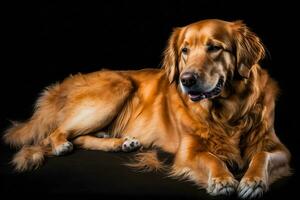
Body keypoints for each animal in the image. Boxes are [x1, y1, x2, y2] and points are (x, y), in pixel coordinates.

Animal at [3, 19, 290, 198]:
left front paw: (253, 180)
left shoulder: (279, 148)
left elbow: (262, 155)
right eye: (184, 51)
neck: (227, 113)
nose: (186, 80)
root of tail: (65, 84)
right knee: (57, 132)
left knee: (81, 138)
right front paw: (222, 179)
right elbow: (211, 158)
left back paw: (121, 142)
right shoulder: (187, 151)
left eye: (214, 48)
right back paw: (64, 144)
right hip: (117, 87)